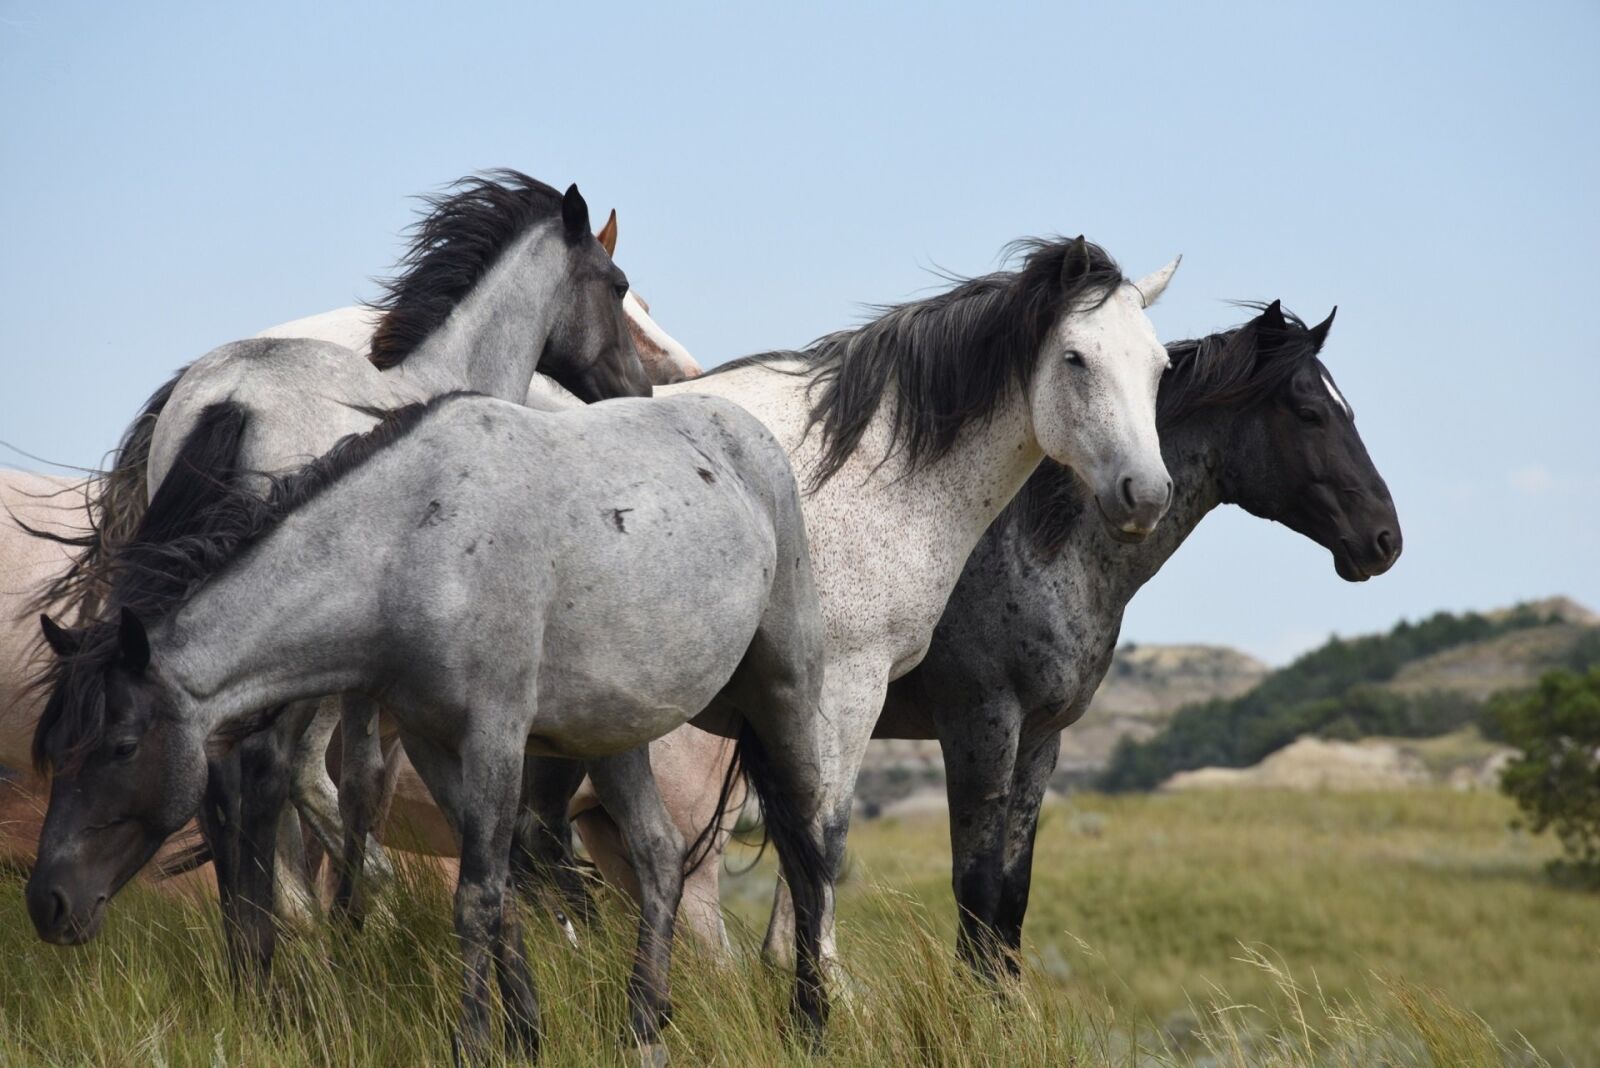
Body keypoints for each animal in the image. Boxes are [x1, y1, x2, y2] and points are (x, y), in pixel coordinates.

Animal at [26, 390, 833, 1064]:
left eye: (122, 747)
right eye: (59, 751)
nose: (47, 903)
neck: (410, 547)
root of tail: (750, 438)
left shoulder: (494, 738)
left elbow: (476, 897)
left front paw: (473, 1042)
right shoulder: (433, 744)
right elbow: (501, 895)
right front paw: (524, 1036)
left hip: (784, 697)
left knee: (807, 850)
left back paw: (810, 1019)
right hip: (615, 734)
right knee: (661, 855)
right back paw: (643, 1023)